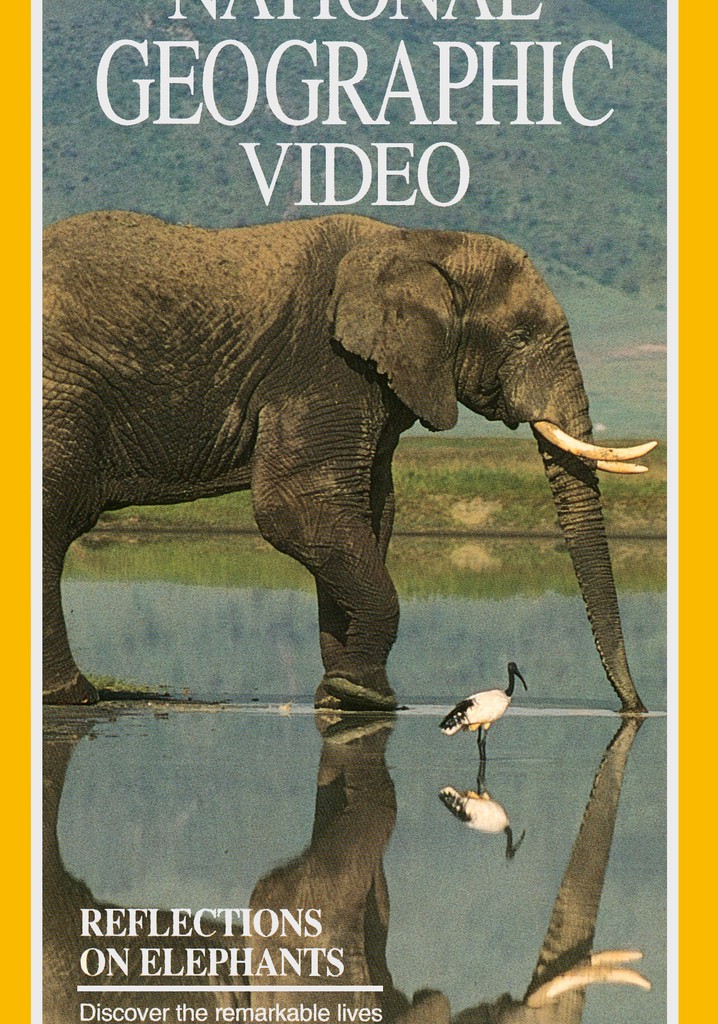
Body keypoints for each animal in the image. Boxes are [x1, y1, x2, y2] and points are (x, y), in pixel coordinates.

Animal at [43, 210, 657, 710]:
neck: (419, 242)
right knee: (57, 515)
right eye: (520, 336)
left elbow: (368, 513)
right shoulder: (325, 365)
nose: (634, 709)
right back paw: (73, 696)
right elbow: (300, 507)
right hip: (63, 394)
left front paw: (345, 695)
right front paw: (364, 698)